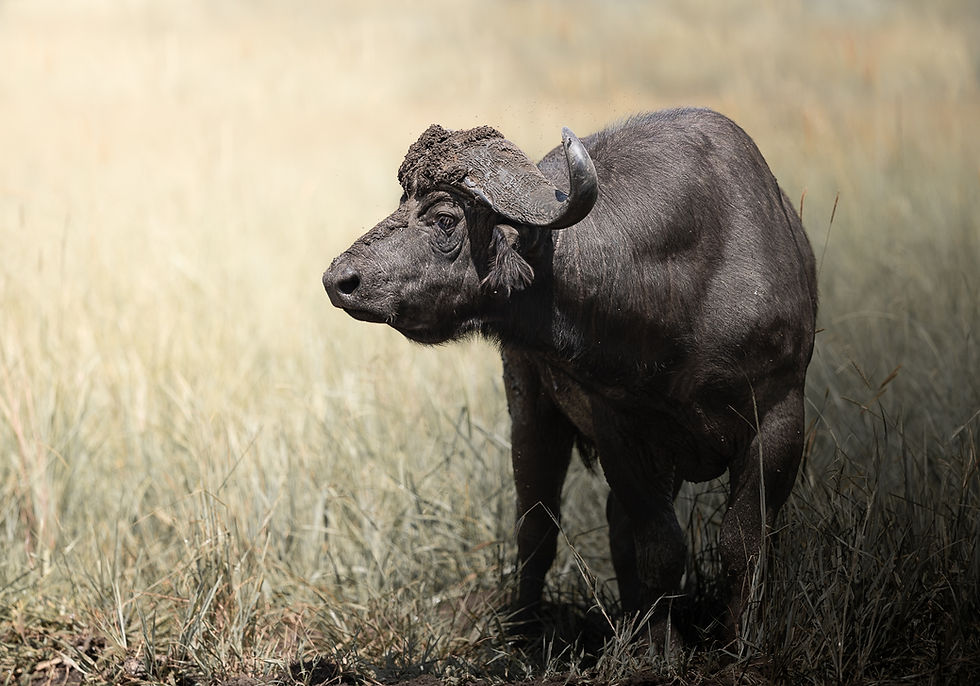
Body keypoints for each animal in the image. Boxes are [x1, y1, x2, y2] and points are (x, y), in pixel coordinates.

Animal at [323, 108, 817, 644]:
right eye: (402, 203)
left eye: (444, 218)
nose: (339, 279)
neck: (677, 291)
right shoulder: (621, 431)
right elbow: (660, 551)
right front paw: (660, 649)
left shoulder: (780, 414)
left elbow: (743, 543)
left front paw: (741, 640)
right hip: (529, 408)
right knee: (537, 529)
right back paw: (526, 630)